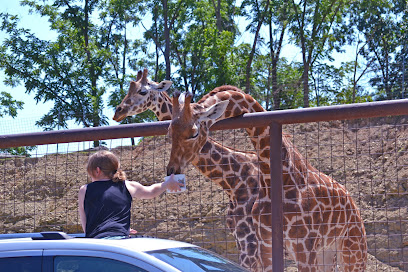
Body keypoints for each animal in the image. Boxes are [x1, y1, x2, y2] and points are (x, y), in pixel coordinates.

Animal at [114, 69, 366, 270]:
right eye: (168, 132)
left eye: (194, 133)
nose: (118, 111)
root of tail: (352, 203)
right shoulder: (259, 243)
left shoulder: (292, 245)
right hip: (327, 250)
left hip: (352, 247)